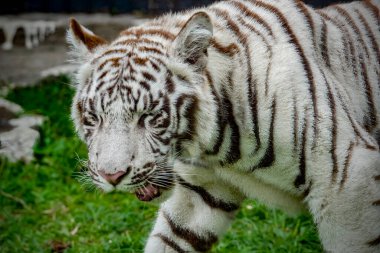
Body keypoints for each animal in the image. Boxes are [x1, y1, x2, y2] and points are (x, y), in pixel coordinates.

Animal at [67, 0, 380, 251]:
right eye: (93, 118)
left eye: (149, 117)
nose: (112, 176)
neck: (217, 148)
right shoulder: (201, 191)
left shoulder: (347, 179)